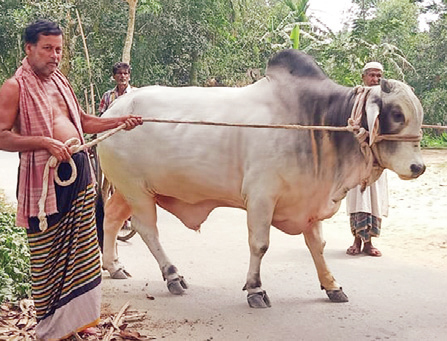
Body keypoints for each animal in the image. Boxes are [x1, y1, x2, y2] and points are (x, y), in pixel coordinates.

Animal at [99, 50, 428, 308]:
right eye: (397, 114)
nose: (418, 167)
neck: (314, 122)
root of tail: (113, 112)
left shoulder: (309, 201)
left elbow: (318, 246)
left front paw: (332, 286)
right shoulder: (261, 197)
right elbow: (260, 244)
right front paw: (255, 289)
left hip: (130, 190)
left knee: (112, 219)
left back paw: (114, 266)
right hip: (136, 190)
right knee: (148, 230)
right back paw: (172, 276)